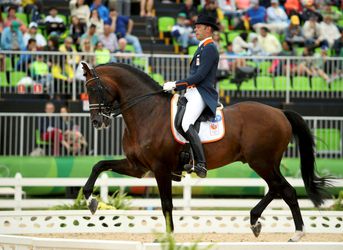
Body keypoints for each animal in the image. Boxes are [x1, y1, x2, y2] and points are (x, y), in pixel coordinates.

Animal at [80, 61, 330, 241]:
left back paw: (296, 233)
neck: (147, 112)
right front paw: (90, 200)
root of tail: (280, 113)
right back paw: (257, 221)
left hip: (262, 162)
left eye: (93, 88)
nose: (96, 122)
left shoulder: (160, 169)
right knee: (277, 188)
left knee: (285, 189)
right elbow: (99, 165)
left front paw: (168, 237)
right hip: (264, 162)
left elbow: (166, 204)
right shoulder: (138, 167)